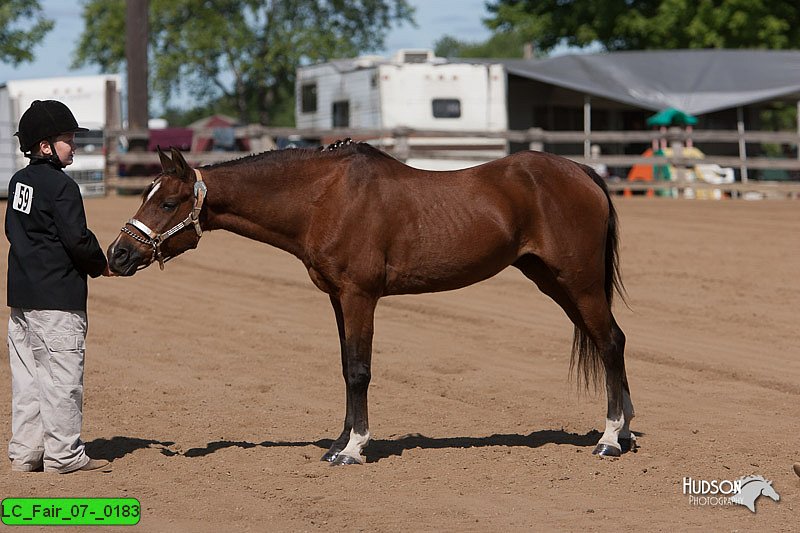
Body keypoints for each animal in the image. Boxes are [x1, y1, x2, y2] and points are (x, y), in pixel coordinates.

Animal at [106, 143, 636, 464]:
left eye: (167, 203)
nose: (118, 254)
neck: (324, 198)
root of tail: (582, 171)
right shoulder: (338, 300)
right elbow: (345, 367)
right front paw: (340, 441)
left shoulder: (360, 296)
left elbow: (360, 370)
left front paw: (353, 449)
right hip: (553, 281)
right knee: (610, 342)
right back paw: (625, 431)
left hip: (580, 282)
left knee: (611, 342)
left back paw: (610, 440)